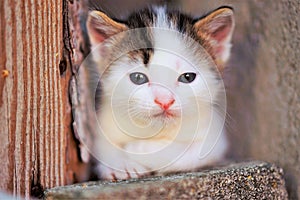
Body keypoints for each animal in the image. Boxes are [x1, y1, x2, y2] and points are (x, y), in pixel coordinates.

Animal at [81, 5, 236, 180]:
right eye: (138, 78)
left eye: (187, 77)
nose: (164, 101)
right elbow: (102, 146)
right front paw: (121, 165)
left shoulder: (215, 135)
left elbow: (194, 154)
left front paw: (139, 149)